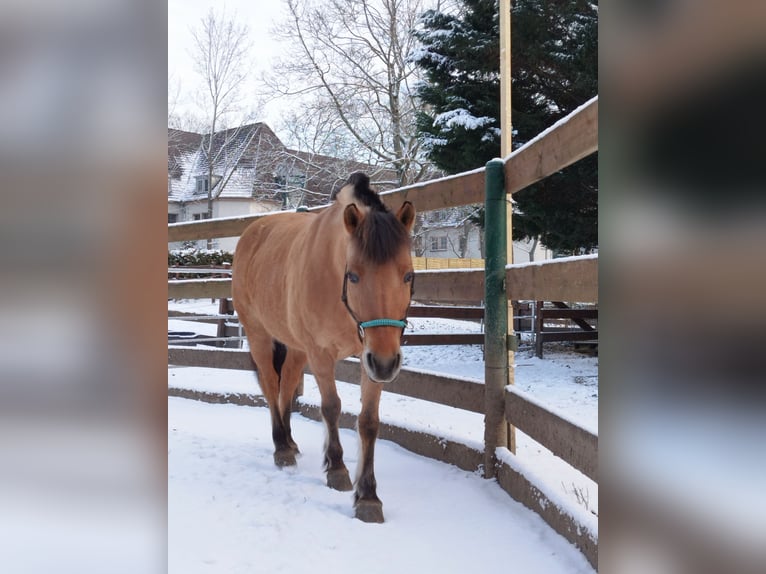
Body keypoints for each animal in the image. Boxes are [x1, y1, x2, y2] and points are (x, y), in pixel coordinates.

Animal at [232, 173, 416, 524]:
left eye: (408, 276)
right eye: (353, 276)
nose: (387, 364)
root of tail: (253, 232)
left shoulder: (370, 357)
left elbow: (368, 421)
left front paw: (368, 497)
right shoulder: (322, 354)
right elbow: (331, 407)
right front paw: (337, 470)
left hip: (296, 348)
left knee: (287, 385)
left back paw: (290, 442)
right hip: (259, 335)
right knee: (271, 385)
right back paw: (281, 448)